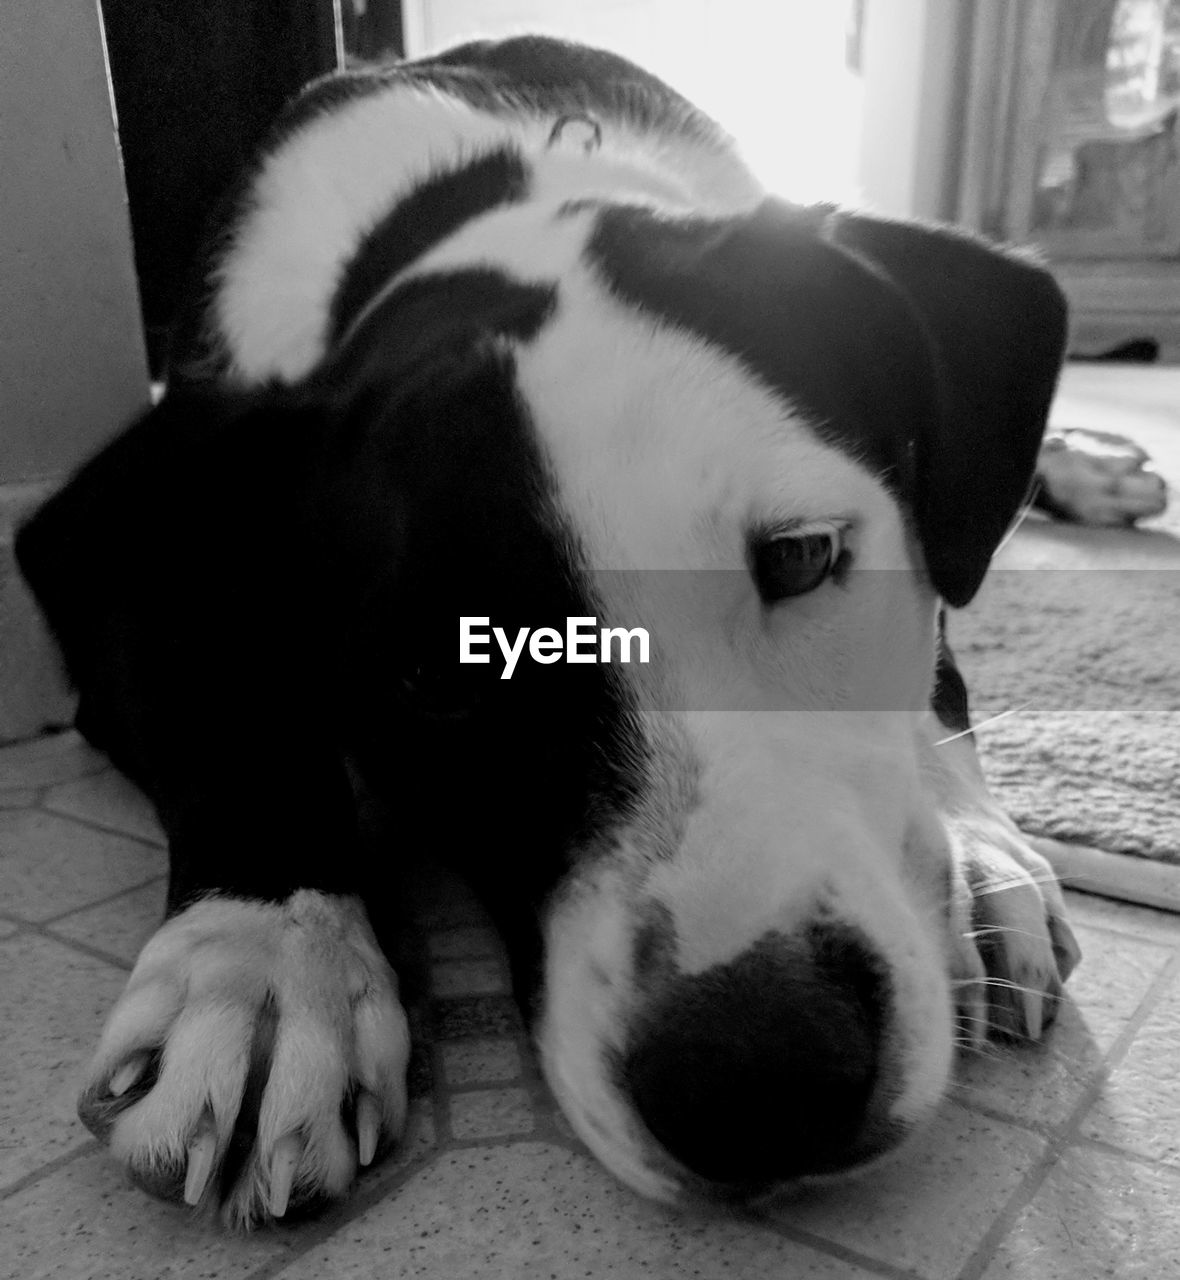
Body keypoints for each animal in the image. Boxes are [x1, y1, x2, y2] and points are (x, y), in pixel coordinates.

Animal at [20, 35, 1085, 1223]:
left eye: (803, 556)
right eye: (438, 672)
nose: (763, 1074)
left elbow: (936, 664)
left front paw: (972, 853)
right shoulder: (112, 545)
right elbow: (231, 705)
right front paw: (260, 959)